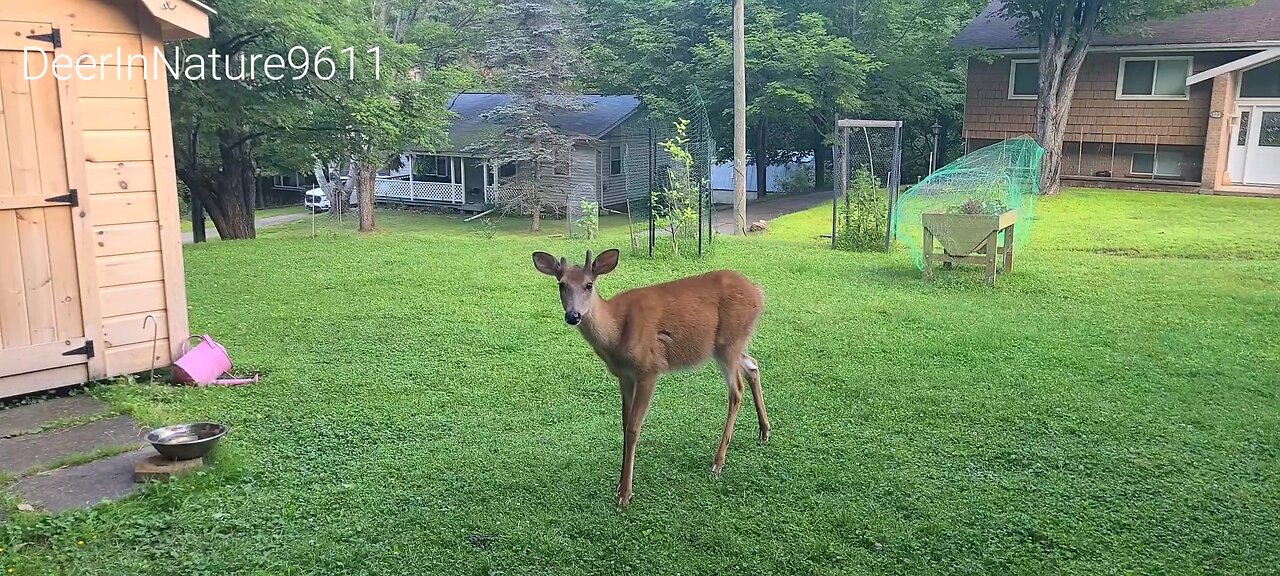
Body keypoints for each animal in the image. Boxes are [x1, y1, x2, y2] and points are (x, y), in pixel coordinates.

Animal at [532, 248, 768, 509]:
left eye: (589, 284)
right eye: (561, 284)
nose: (573, 315)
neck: (617, 333)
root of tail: (759, 293)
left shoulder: (650, 368)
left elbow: (634, 427)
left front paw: (625, 494)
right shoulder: (624, 376)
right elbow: (624, 424)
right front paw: (619, 484)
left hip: (729, 341)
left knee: (736, 390)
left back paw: (718, 462)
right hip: (728, 345)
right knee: (753, 365)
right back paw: (764, 431)